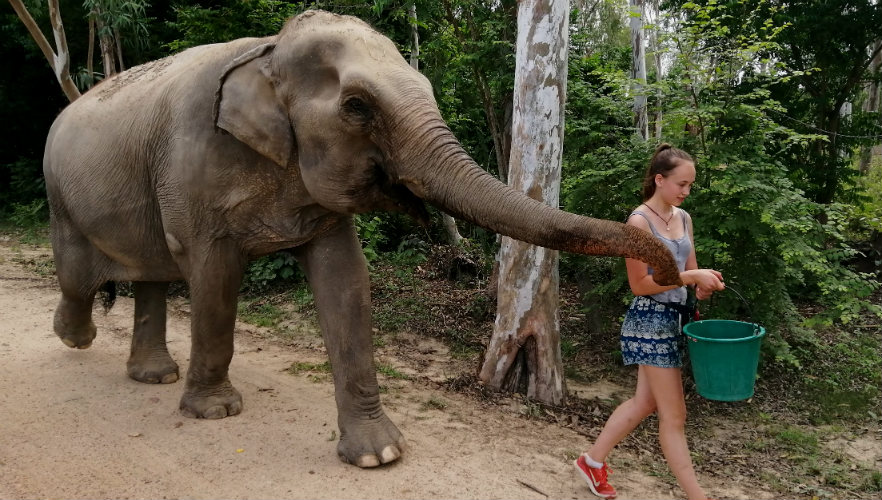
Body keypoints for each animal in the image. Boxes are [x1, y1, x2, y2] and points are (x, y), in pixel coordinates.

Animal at [43, 9, 680, 470]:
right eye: (356, 106)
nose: (672, 271)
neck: (268, 51)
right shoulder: (196, 176)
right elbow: (215, 279)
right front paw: (216, 413)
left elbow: (347, 280)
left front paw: (380, 454)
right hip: (62, 194)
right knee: (79, 272)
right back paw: (76, 337)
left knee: (150, 274)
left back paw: (152, 375)